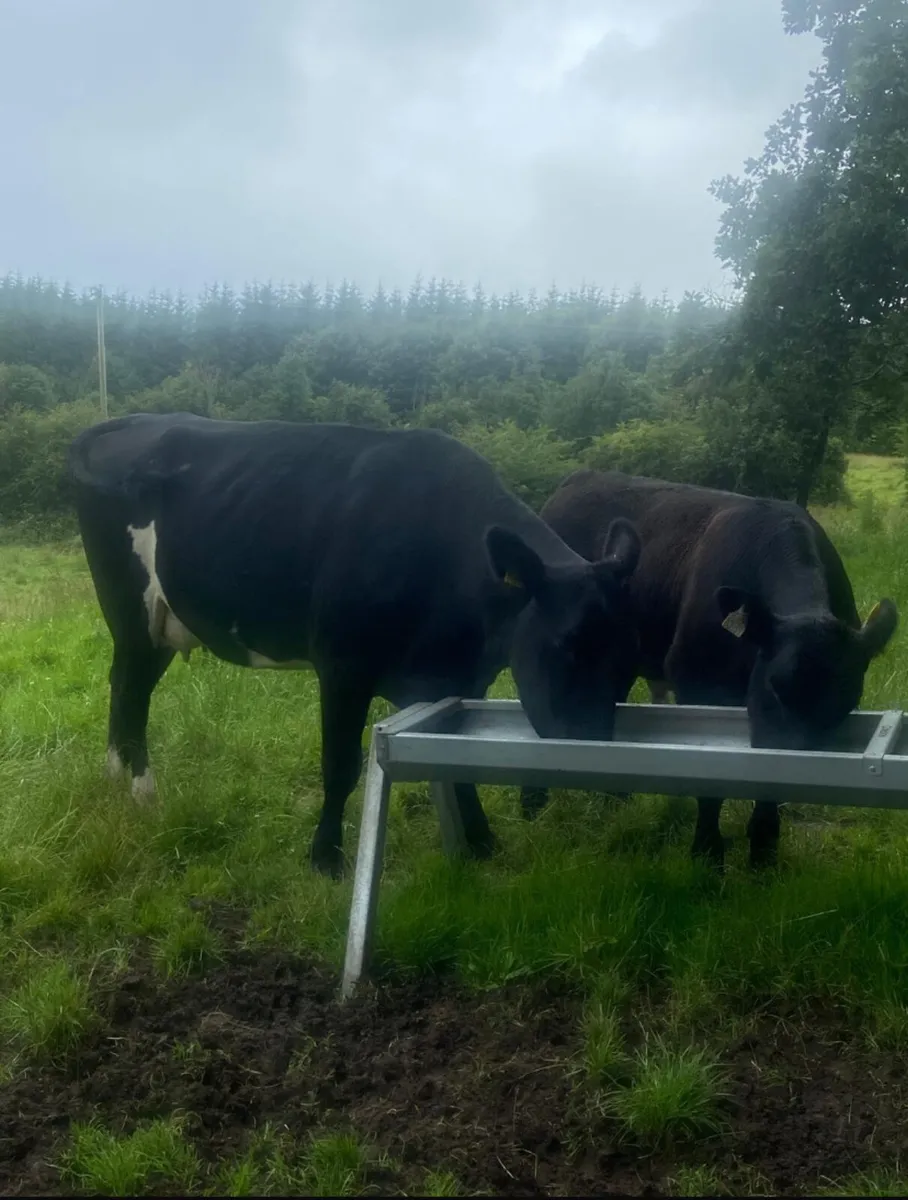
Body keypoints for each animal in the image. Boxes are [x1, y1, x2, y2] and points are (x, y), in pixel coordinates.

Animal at [67, 413, 642, 878]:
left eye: (625, 660)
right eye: (565, 646)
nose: (602, 763)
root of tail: (126, 421)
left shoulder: (460, 680)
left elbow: (458, 759)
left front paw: (481, 843)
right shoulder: (343, 665)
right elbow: (341, 765)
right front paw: (326, 858)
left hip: (159, 624)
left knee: (123, 686)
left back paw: (113, 779)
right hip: (132, 610)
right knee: (133, 692)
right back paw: (143, 795)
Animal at [522, 468, 898, 869]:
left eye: (847, 703)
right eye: (776, 687)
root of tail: (578, 479)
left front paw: (763, 851)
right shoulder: (697, 683)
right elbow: (709, 781)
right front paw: (706, 852)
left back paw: (612, 800)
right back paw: (535, 807)